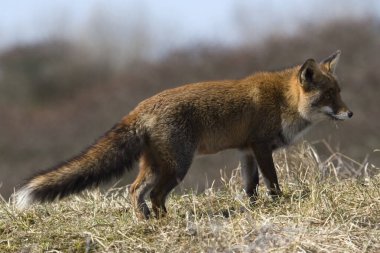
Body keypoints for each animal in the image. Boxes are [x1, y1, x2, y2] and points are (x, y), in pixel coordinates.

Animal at [14, 50, 354, 218]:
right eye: (329, 96)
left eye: (340, 92)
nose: (350, 114)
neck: (284, 100)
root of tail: (139, 108)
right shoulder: (260, 146)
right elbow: (272, 181)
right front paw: (279, 202)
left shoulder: (245, 151)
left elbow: (250, 187)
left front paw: (254, 208)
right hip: (178, 166)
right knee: (154, 195)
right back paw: (166, 220)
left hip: (156, 165)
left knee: (135, 191)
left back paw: (148, 221)